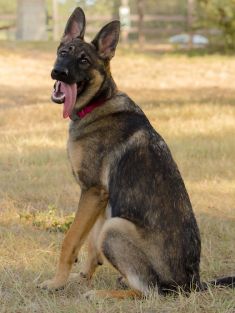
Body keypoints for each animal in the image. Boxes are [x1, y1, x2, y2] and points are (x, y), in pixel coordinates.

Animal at [39, 7, 235, 298]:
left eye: (84, 60)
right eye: (63, 52)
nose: (58, 72)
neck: (98, 102)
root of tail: (193, 282)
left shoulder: (92, 191)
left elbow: (71, 240)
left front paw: (57, 283)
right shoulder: (101, 198)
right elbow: (91, 245)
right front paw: (82, 278)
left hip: (116, 227)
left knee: (150, 291)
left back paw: (106, 294)